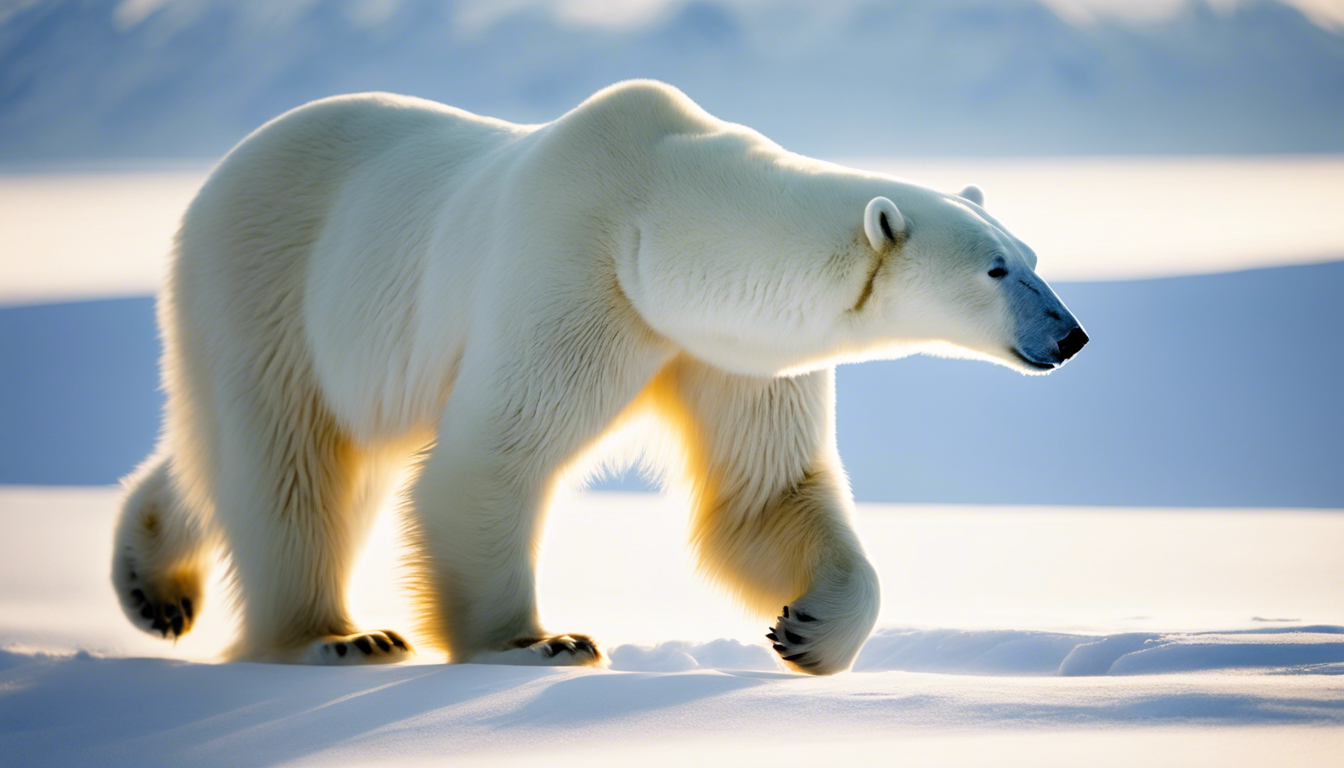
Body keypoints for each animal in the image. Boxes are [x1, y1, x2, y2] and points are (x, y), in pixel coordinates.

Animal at [110, 81, 1085, 675]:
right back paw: (335, 638)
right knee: (287, 461)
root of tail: (221, 173)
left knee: (240, 453)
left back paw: (155, 585)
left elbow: (765, 493)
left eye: (1034, 256)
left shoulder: (726, 348)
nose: (1072, 335)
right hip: (268, 283)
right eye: (997, 269)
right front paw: (537, 643)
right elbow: (489, 459)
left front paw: (808, 630)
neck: (654, 221)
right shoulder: (573, 271)